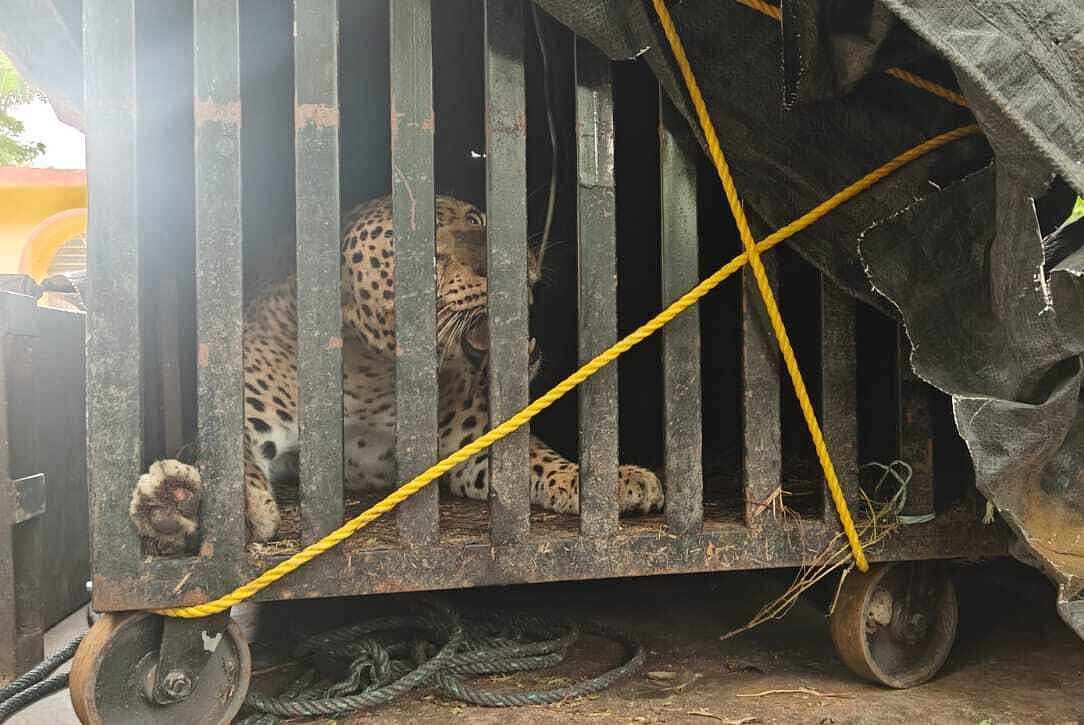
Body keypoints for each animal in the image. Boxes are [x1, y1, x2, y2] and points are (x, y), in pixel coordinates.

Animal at [130, 194, 664, 552]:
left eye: (477, 219)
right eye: (425, 253)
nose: (515, 254)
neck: (371, 372)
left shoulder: (470, 446)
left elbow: (536, 461)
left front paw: (611, 479)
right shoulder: (247, 415)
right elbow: (225, 451)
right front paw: (201, 506)